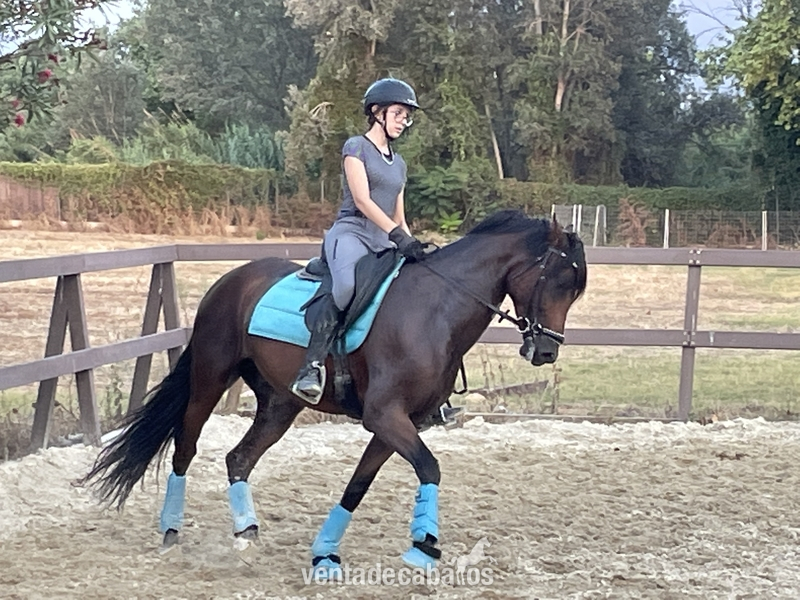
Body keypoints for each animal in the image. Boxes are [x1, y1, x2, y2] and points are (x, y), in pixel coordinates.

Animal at [80, 208, 587, 577]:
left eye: (574, 290)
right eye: (557, 281)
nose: (546, 351)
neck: (436, 309)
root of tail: (229, 281)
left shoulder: (397, 424)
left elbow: (358, 485)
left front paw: (326, 552)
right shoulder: (385, 416)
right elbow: (430, 468)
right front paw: (424, 546)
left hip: (280, 404)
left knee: (239, 458)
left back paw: (247, 533)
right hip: (209, 380)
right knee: (185, 448)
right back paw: (170, 531)